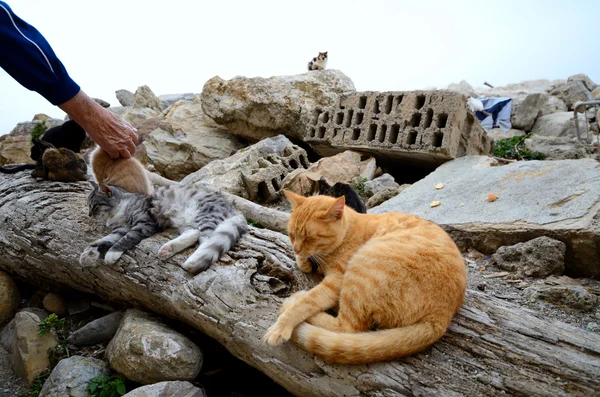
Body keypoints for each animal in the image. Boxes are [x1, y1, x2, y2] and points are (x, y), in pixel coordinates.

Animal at [81, 182, 247, 272]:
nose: (89, 214)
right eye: (88, 206)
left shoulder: (145, 223)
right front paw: (88, 254)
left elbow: (126, 239)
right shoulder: (120, 229)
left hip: (206, 217)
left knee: (206, 240)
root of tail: (236, 210)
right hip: (188, 222)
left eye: (94, 206)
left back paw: (192, 260)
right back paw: (168, 249)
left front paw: (112, 253)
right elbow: (102, 240)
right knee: (193, 233)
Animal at [264, 190, 468, 364]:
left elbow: (307, 303)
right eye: (291, 234)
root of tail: (442, 317)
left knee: (347, 327)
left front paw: (281, 325)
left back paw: (294, 299)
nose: (296, 248)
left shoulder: (336, 281)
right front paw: (304, 260)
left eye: (309, 238)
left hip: (362, 266)